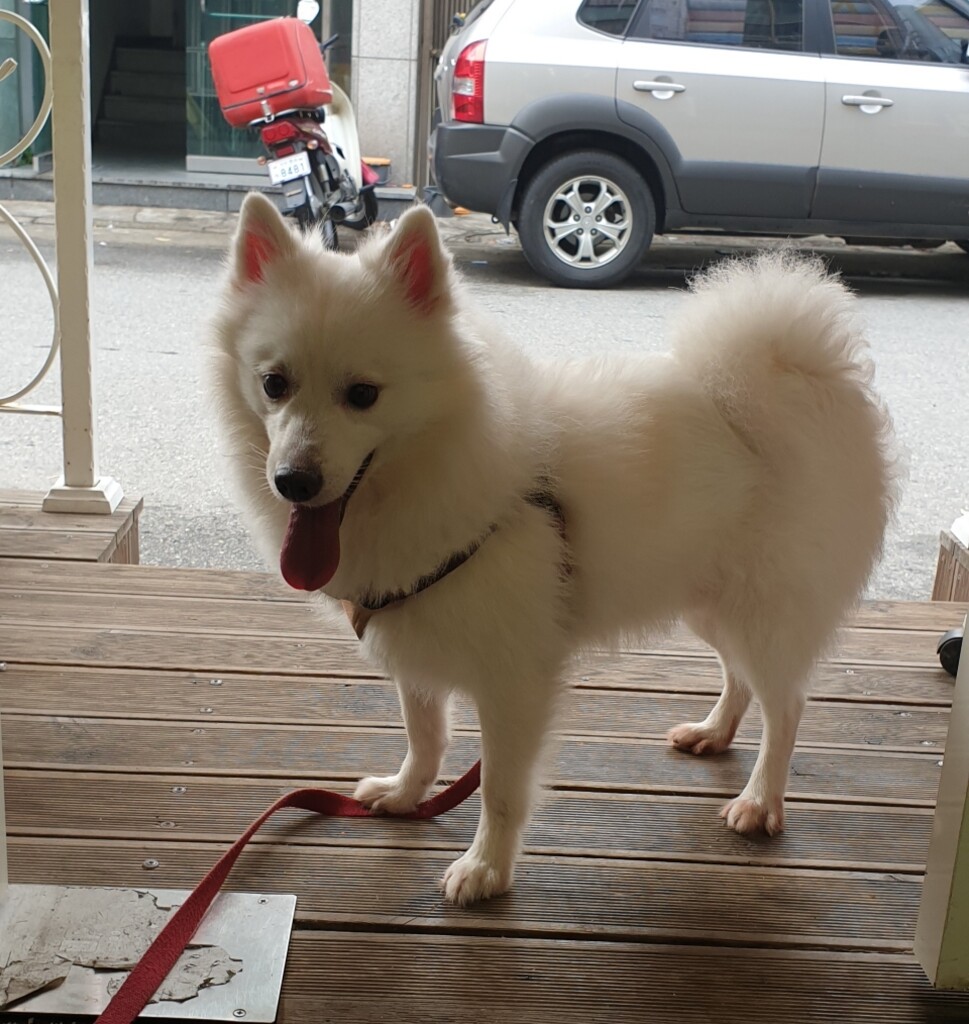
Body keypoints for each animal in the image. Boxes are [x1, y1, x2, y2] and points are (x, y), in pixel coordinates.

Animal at [211, 192, 897, 905]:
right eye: (274, 383)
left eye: (363, 395)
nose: (294, 481)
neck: (445, 458)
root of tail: (803, 381)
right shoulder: (416, 643)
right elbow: (423, 736)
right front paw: (405, 795)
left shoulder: (514, 682)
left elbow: (499, 789)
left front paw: (486, 870)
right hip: (708, 604)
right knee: (740, 679)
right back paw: (713, 732)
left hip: (760, 611)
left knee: (785, 706)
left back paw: (761, 801)